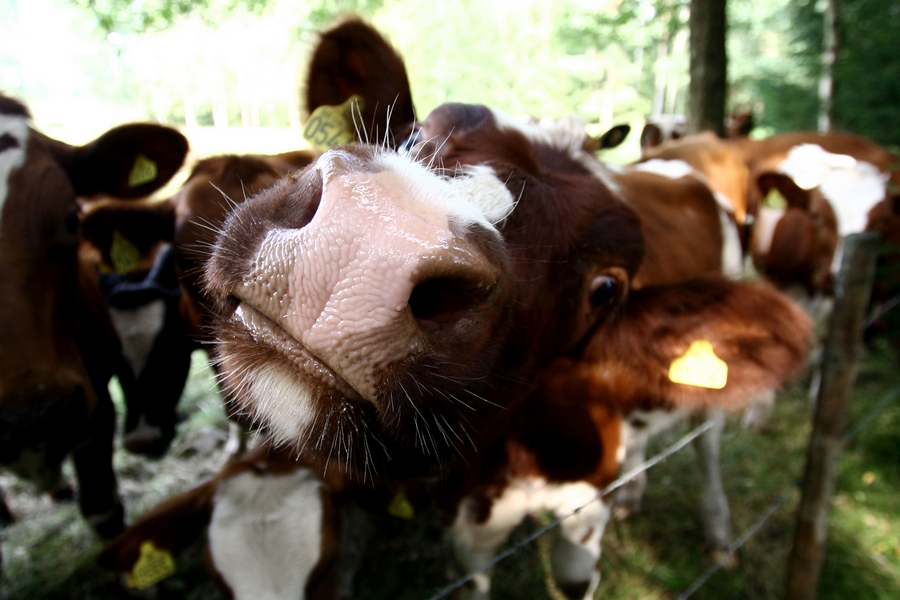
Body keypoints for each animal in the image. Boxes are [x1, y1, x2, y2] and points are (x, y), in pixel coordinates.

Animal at [200, 18, 812, 600]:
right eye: (411, 134)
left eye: (606, 289)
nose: (373, 237)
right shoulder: (465, 524)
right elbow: (473, 580)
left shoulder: (583, 509)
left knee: (707, 441)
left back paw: (719, 531)